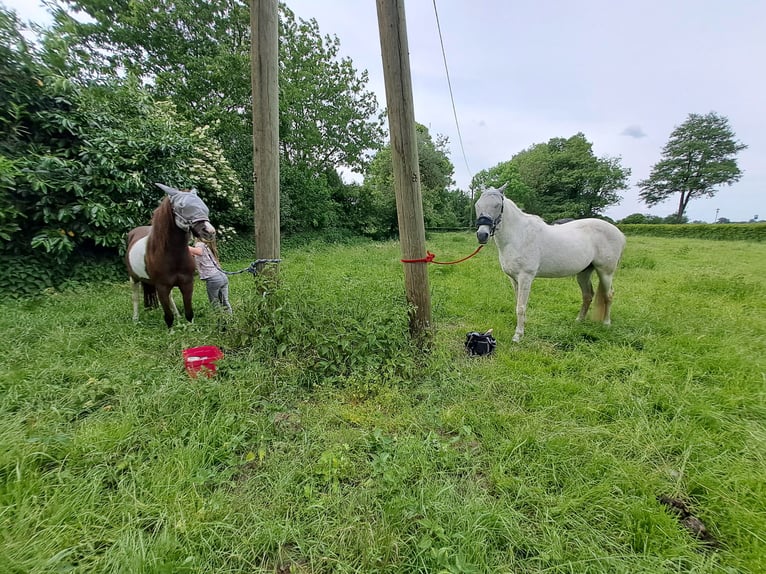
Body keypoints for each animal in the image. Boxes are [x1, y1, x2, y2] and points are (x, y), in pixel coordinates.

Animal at [125, 184, 216, 328]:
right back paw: (135, 319)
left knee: (170, 297)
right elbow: (168, 316)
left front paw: (191, 328)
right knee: (135, 298)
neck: (172, 255)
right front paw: (171, 330)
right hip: (133, 278)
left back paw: (178, 315)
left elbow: (189, 313)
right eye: (181, 205)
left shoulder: (187, 284)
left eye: (203, 205)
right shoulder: (161, 287)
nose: (210, 232)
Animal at [474, 186, 632, 342]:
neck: (519, 236)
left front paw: (518, 335)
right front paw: (521, 327)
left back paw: (606, 323)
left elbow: (521, 306)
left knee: (609, 295)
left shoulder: (526, 277)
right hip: (584, 273)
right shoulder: (514, 279)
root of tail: (619, 234)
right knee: (587, 295)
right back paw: (579, 321)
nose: (482, 235)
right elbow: (518, 304)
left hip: (605, 273)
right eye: (477, 205)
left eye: (497, 205)